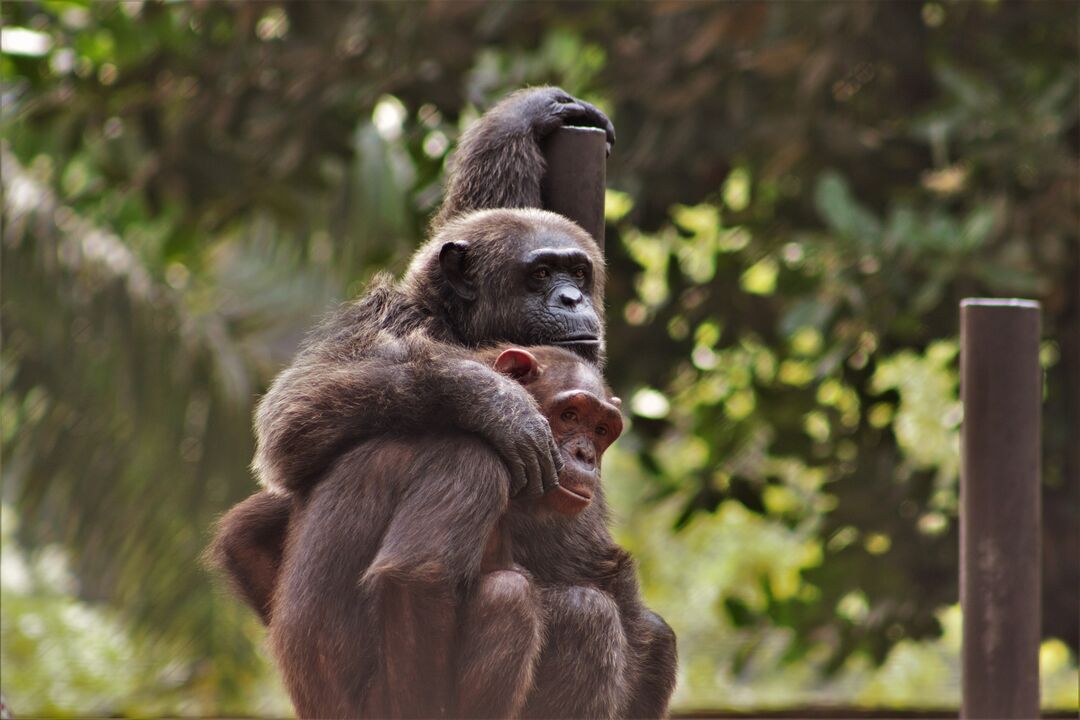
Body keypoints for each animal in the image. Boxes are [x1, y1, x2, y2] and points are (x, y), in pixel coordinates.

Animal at [209, 345, 673, 716]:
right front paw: (494, 402)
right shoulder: (471, 460)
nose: (584, 455)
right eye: (570, 414)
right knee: (545, 604)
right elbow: (417, 578)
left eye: (601, 429)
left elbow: (247, 533)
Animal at [247, 84, 613, 500]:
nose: (571, 298)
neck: (452, 321)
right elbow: (295, 408)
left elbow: (483, 200)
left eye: (579, 273)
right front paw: (498, 403)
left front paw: (531, 110)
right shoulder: (383, 321)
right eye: (541, 273)